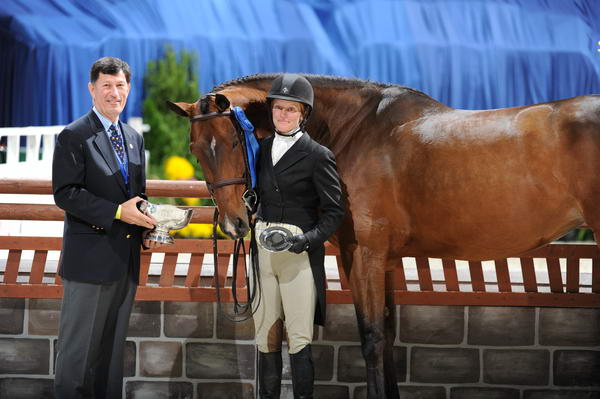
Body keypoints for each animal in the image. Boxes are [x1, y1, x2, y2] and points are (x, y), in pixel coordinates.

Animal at [168, 73, 600, 398]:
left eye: (231, 142)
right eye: (196, 148)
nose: (234, 225)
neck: (355, 129)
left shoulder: (365, 255)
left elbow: (372, 337)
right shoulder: (384, 261)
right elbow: (389, 335)